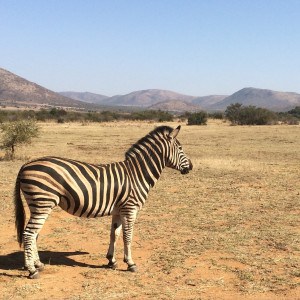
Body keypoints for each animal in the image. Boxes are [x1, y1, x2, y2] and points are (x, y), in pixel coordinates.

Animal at [14, 125, 192, 278]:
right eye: (180, 148)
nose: (190, 167)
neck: (137, 174)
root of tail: (25, 165)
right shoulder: (130, 208)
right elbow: (128, 236)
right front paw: (130, 263)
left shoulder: (118, 210)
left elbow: (115, 234)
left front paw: (111, 260)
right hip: (42, 203)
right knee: (29, 234)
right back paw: (31, 270)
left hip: (38, 204)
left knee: (34, 234)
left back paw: (38, 264)